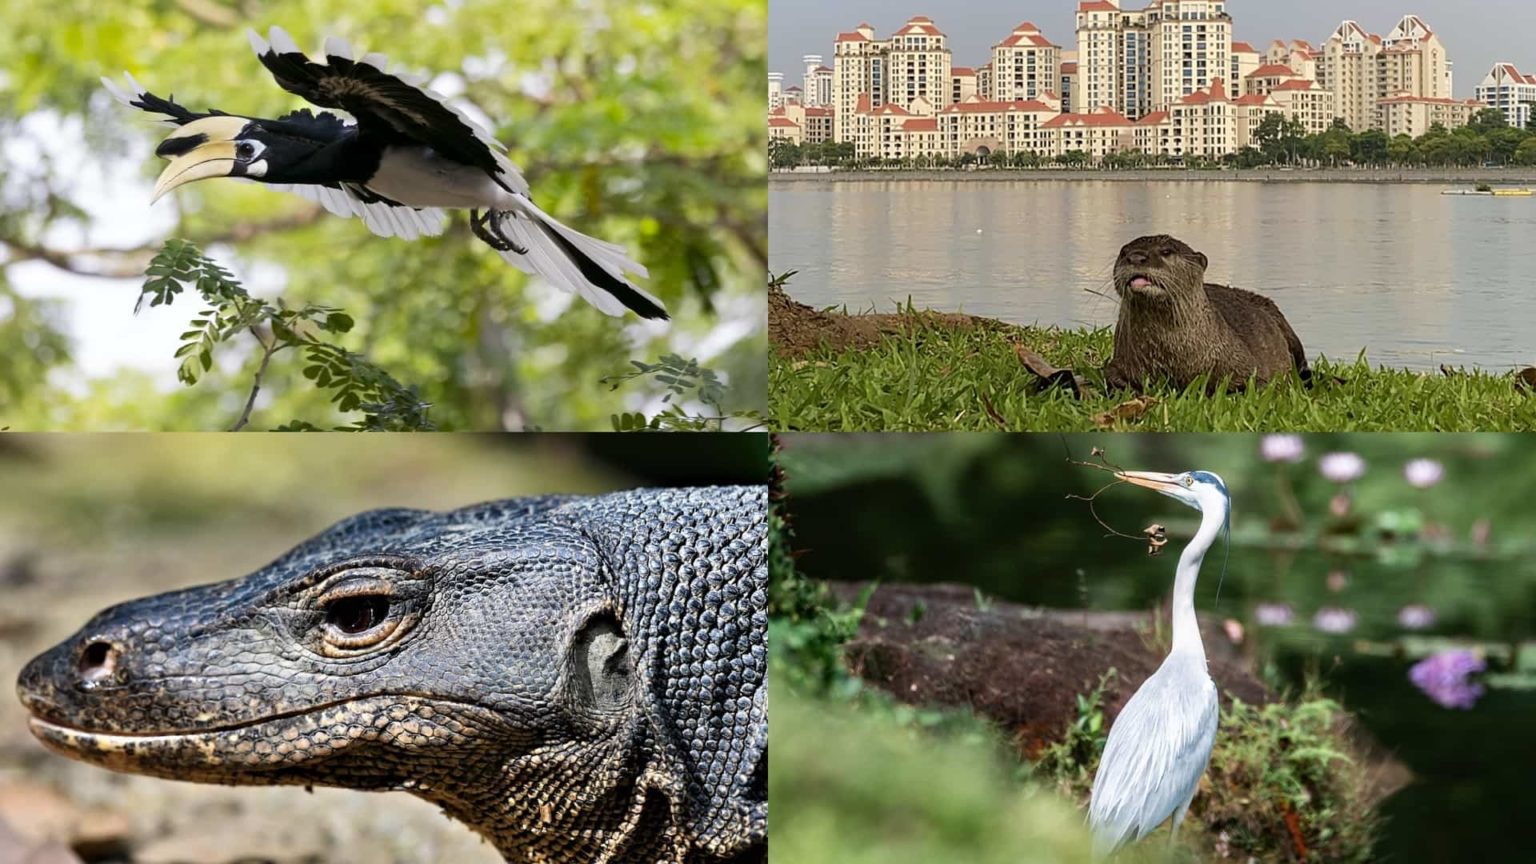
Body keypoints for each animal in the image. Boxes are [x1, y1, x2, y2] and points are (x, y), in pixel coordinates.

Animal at [1104, 235, 1310, 392]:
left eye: (1166, 252)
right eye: (1123, 252)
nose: (1136, 257)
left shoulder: (1248, 367)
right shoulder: (1121, 363)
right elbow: (1111, 377)